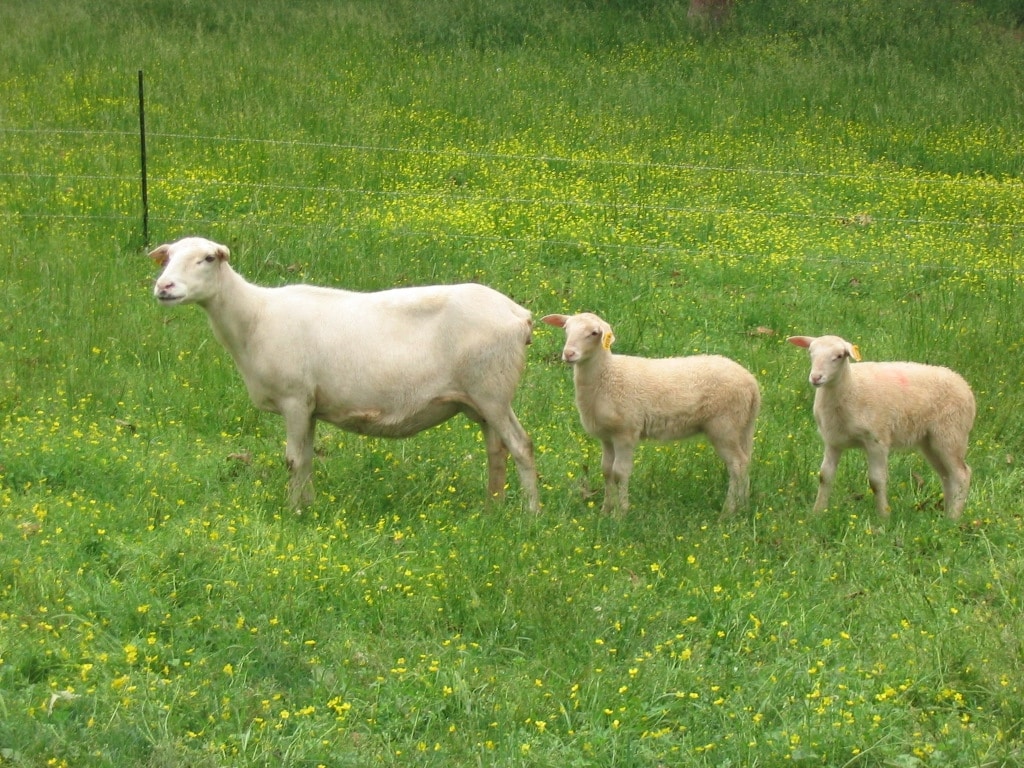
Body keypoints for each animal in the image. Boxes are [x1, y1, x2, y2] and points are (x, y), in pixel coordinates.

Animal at [148, 236, 540, 512]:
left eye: (208, 258)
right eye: (167, 258)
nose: (164, 287)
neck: (254, 317)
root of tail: (519, 314)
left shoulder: (294, 398)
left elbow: (293, 460)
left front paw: (293, 512)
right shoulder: (309, 405)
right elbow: (306, 459)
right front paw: (308, 506)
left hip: (492, 390)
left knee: (521, 445)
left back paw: (531, 514)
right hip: (482, 398)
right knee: (497, 450)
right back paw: (492, 509)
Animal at [541, 312, 760, 515]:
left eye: (594, 333)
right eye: (566, 329)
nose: (569, 354)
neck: (606, 375)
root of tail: (751, 383)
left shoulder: (626, 432)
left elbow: (619, 472)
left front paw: (620, 514)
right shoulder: (607, 436)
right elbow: (606, 471)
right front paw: (605, 510)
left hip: (724, 425)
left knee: (737, 464)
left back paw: (727, 511)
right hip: (741, 425)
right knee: (745, 461)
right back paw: (743, 506)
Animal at [787, 334, 975, 519]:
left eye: (839, 356)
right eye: (810, 352)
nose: (816, 378)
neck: (850, 387)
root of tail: (964, 384)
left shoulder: (877, 440)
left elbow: (876, 481)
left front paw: (883, 516)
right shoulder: (833, 441)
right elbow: (825, 476)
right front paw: (817, 513)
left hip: (951, 433)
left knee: (961, 474)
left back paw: (954, 518)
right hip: (929, 441)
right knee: (946, 476)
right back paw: (946, 515)